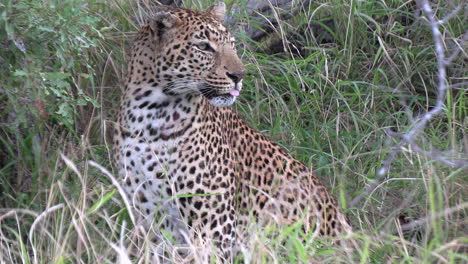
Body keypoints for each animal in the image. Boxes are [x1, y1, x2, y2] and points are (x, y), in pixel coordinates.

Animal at [113, 2, 352, 260]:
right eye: (203, 47)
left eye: (233, 44)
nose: (239, 75)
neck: (149, 115)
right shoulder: (150, 218)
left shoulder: (214, 225)